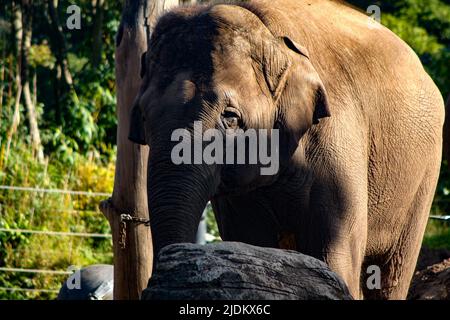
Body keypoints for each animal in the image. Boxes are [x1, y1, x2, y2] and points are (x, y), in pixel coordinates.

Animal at [128, 0, 444, 300]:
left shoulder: (338, 138)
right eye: (143, 116)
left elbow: (332, 253)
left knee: (392, 272)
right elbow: (250, 241)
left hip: (424, 176)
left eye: (230, 117)